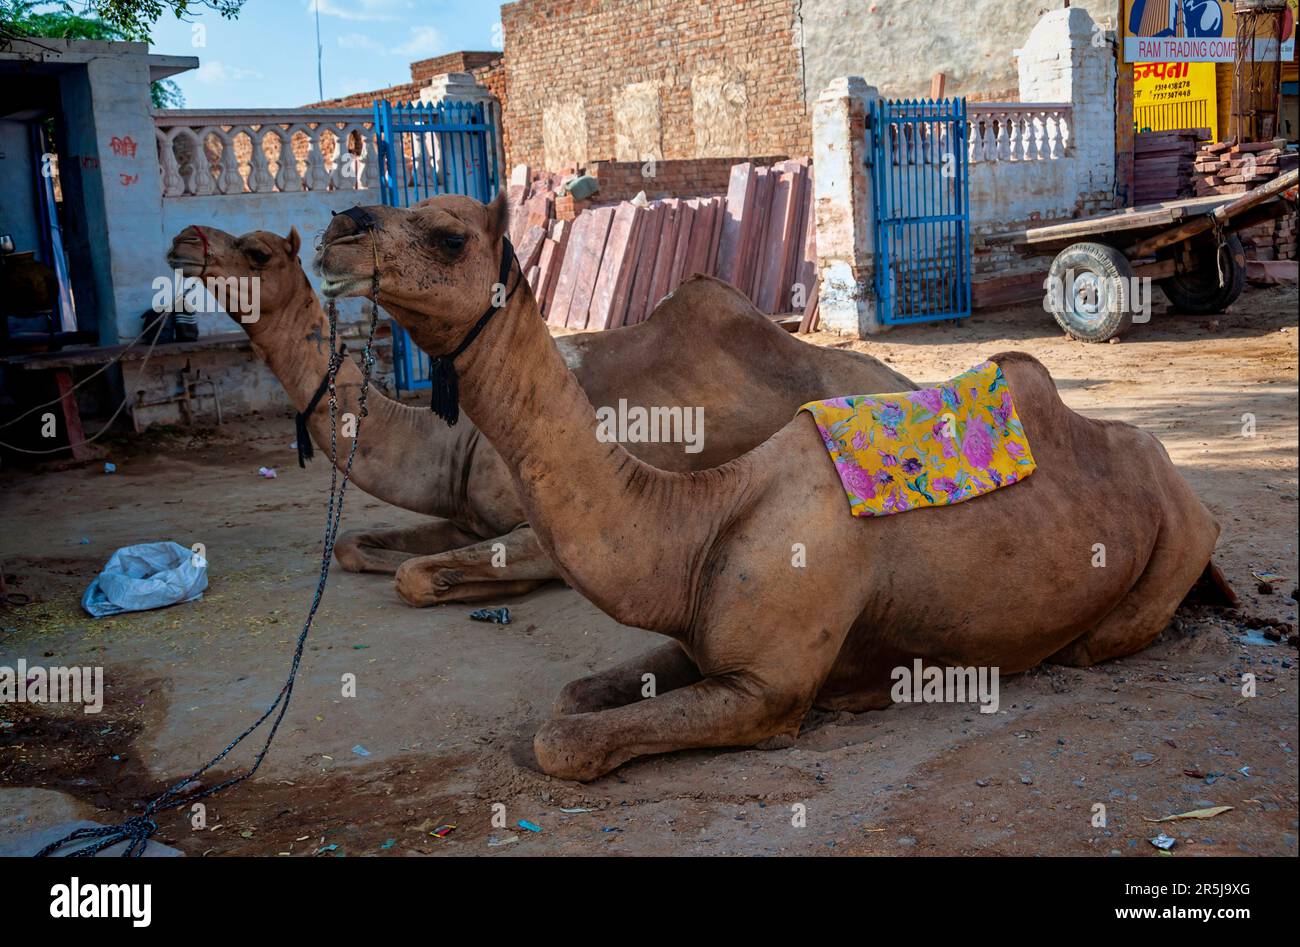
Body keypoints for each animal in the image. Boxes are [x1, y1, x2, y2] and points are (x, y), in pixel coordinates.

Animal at [317, 188, 1237, 780]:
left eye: (447, 235)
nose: (339, 227)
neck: (695, 518)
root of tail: (1176, 476)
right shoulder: (702, 642)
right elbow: (572, 696)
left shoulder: (766, 689)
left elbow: (563, 743)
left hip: (1173, 553)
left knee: (1098, 639)